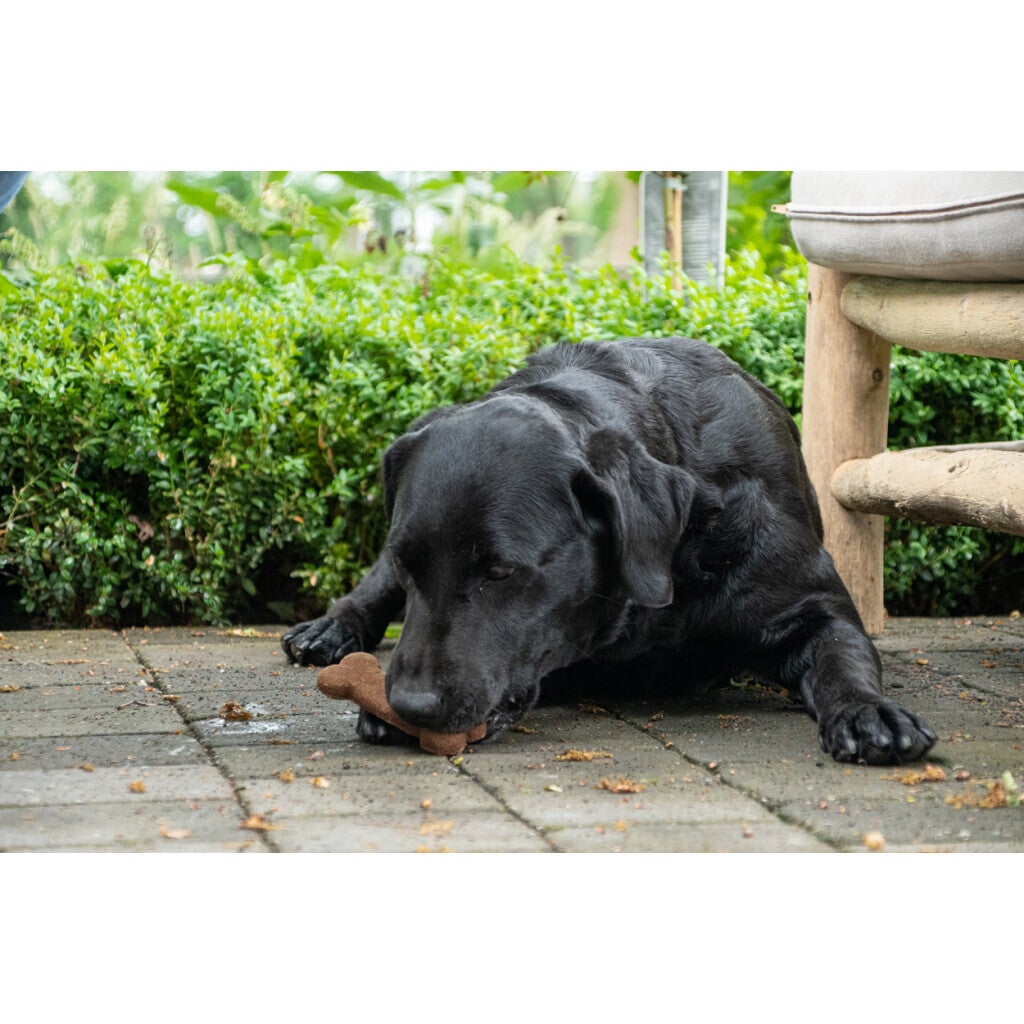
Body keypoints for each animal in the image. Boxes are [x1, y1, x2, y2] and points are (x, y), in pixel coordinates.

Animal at [282, 338, 936, 765]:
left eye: (500, 571)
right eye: (413, 563)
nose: (410, 704)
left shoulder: (811, 602)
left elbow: (842, 655)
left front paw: (867, 711)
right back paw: (330, 630)